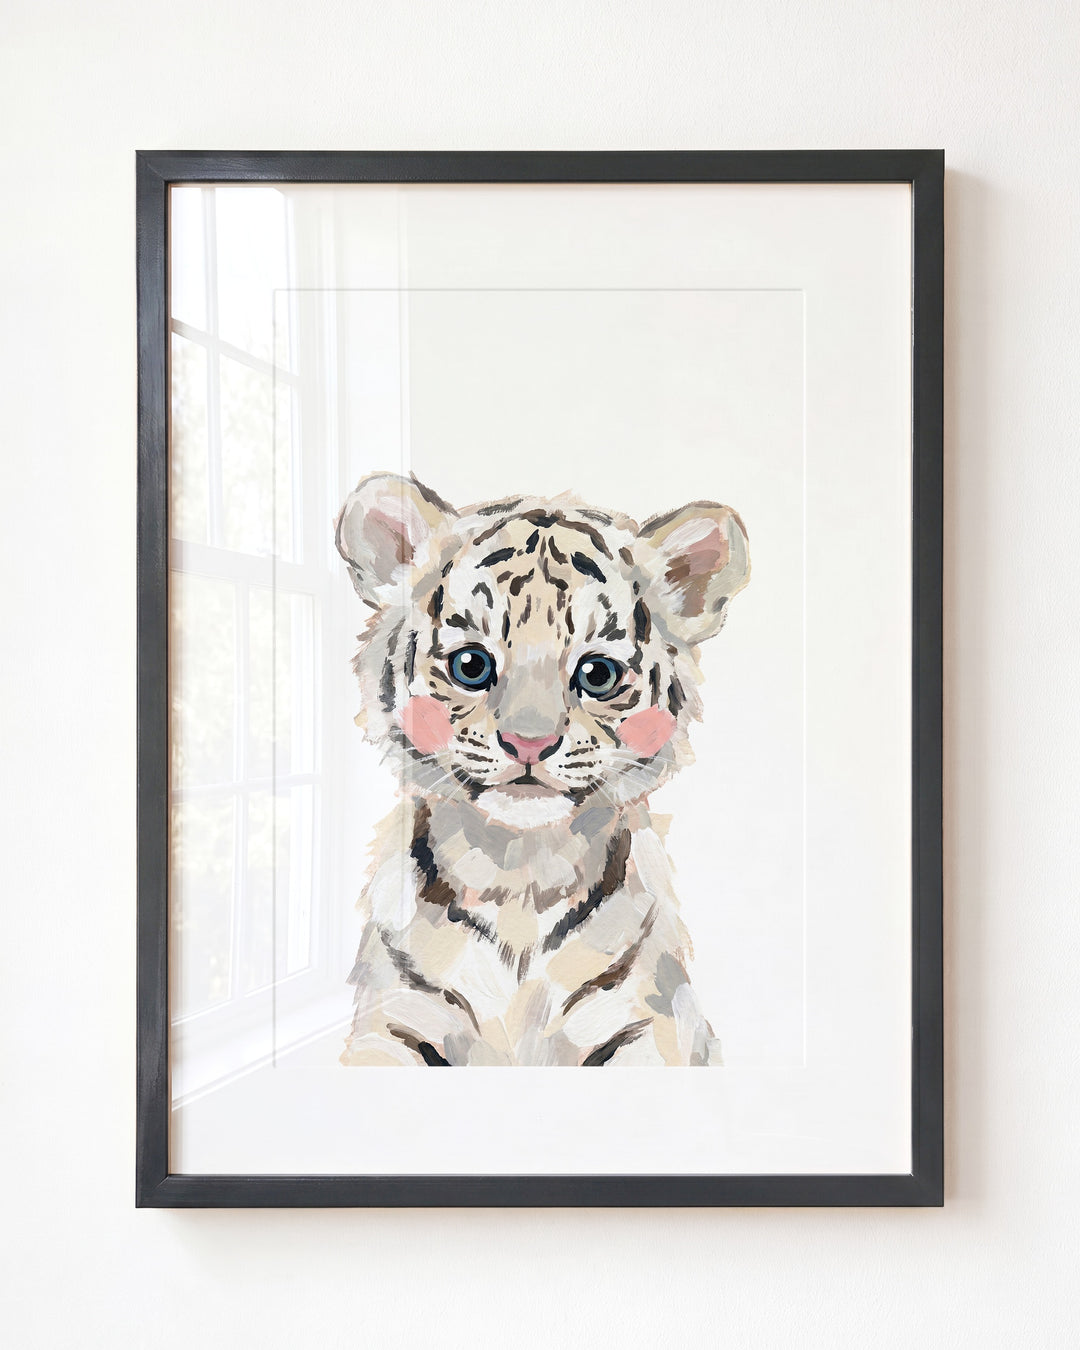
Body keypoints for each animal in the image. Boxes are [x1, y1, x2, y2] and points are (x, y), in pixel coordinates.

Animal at [334, 472, 750, 1066]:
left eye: (597, 673)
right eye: (471, 665)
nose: (528, 744)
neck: (518, 877)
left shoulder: (648, 1027)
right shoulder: (391, 1026)